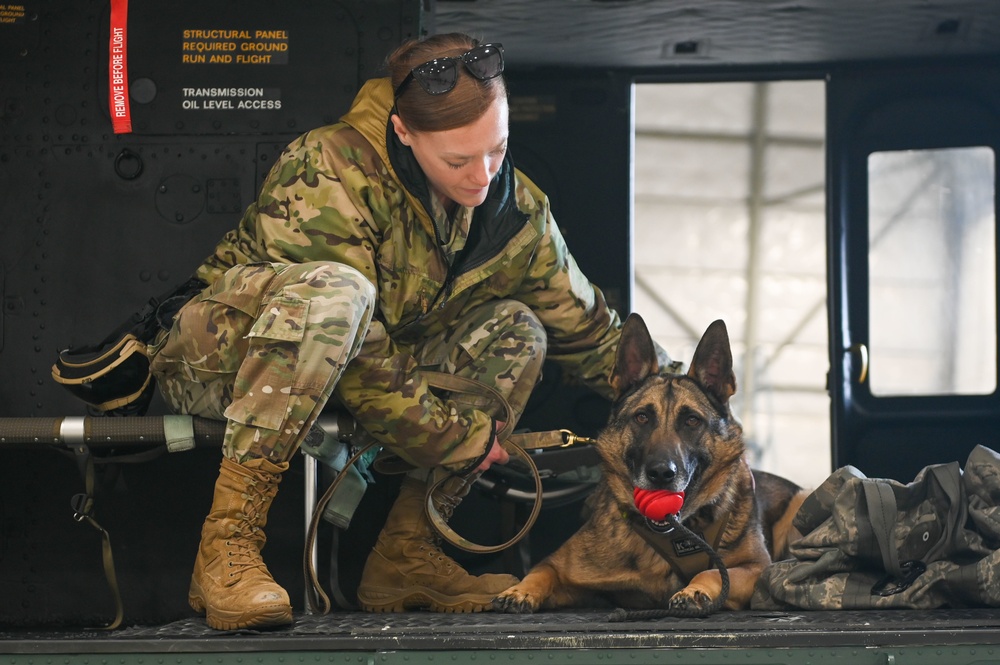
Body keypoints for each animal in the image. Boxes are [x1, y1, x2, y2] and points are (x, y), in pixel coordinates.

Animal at [496, 312, 808, 612]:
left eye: (691, 420)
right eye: (642, 417)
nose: (660, 474)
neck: (675, 534)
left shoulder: (757, 568)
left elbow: (713, 572)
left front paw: (695, 590)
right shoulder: (560, 567)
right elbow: (541, 572)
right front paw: (519, 590)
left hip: (800, 503)